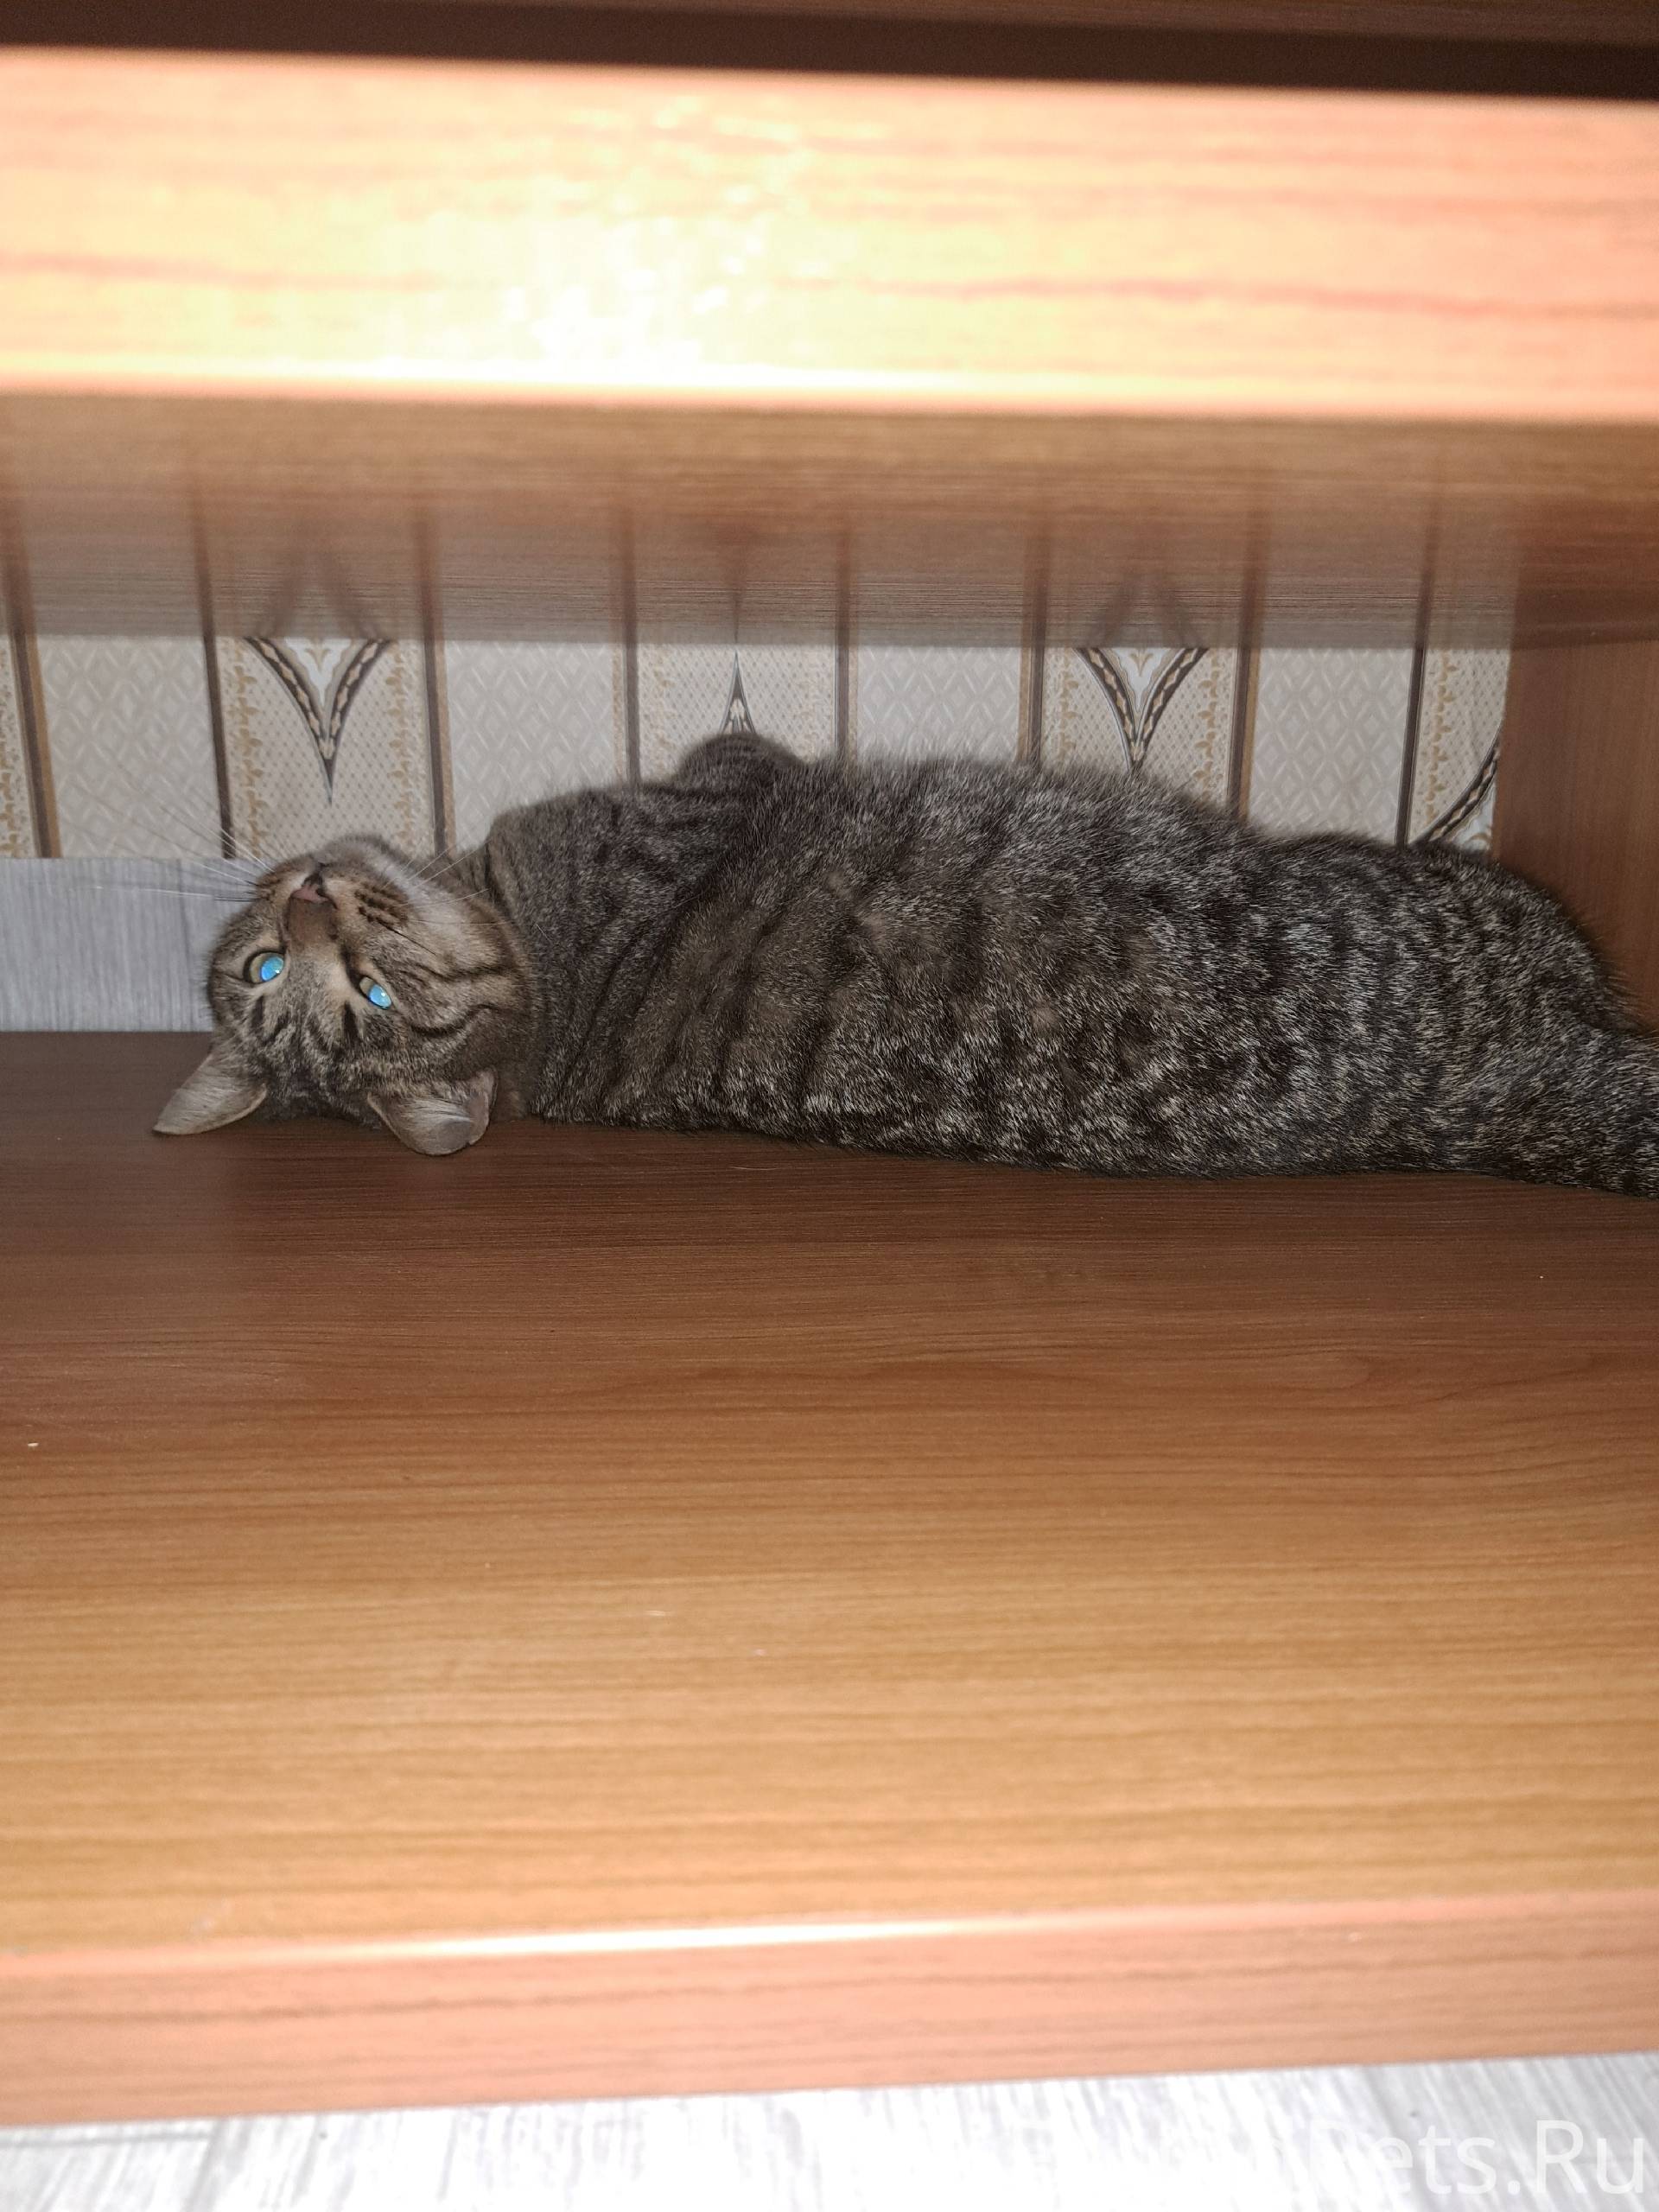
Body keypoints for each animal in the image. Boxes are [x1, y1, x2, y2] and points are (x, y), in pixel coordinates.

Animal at [156, 732, 1659, 1197]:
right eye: (352, 996)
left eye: (278, 977)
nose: (309, 897)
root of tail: (1478, 1101)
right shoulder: (701, 797)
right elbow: (738, 752)